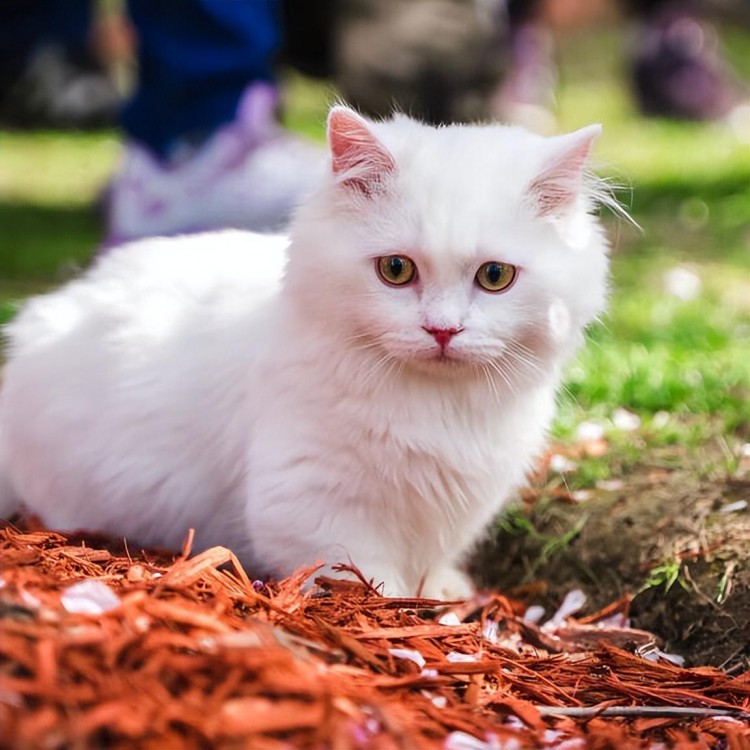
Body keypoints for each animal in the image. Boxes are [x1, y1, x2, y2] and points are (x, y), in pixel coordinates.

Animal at [0, 104, 612, 600]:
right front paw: (398, 604)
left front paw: (440, 594)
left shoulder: (459, 502)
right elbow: (364, 573)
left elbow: (433, 559)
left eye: (495, 277)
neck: (441, 408)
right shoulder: (314, 500)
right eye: (396, 270)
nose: (442, 330)